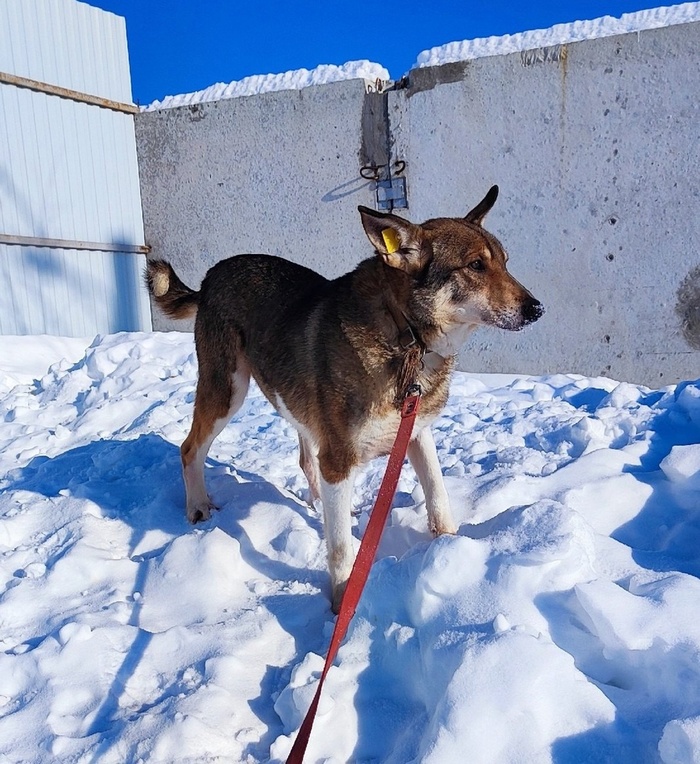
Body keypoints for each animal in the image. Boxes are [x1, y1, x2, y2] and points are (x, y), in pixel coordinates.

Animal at [145, 186, 543, 612]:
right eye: (475, 265)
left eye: (505, 262)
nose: (537, 309)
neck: (406, 337)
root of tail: (210, 277)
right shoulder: (339, 458)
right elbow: (340, 549)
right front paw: (340, 605)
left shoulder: (416, 432)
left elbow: (438, 497)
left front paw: (450, 550)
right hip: (227, 391)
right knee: (190, 448)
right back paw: (199, 507)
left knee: (306, 461)